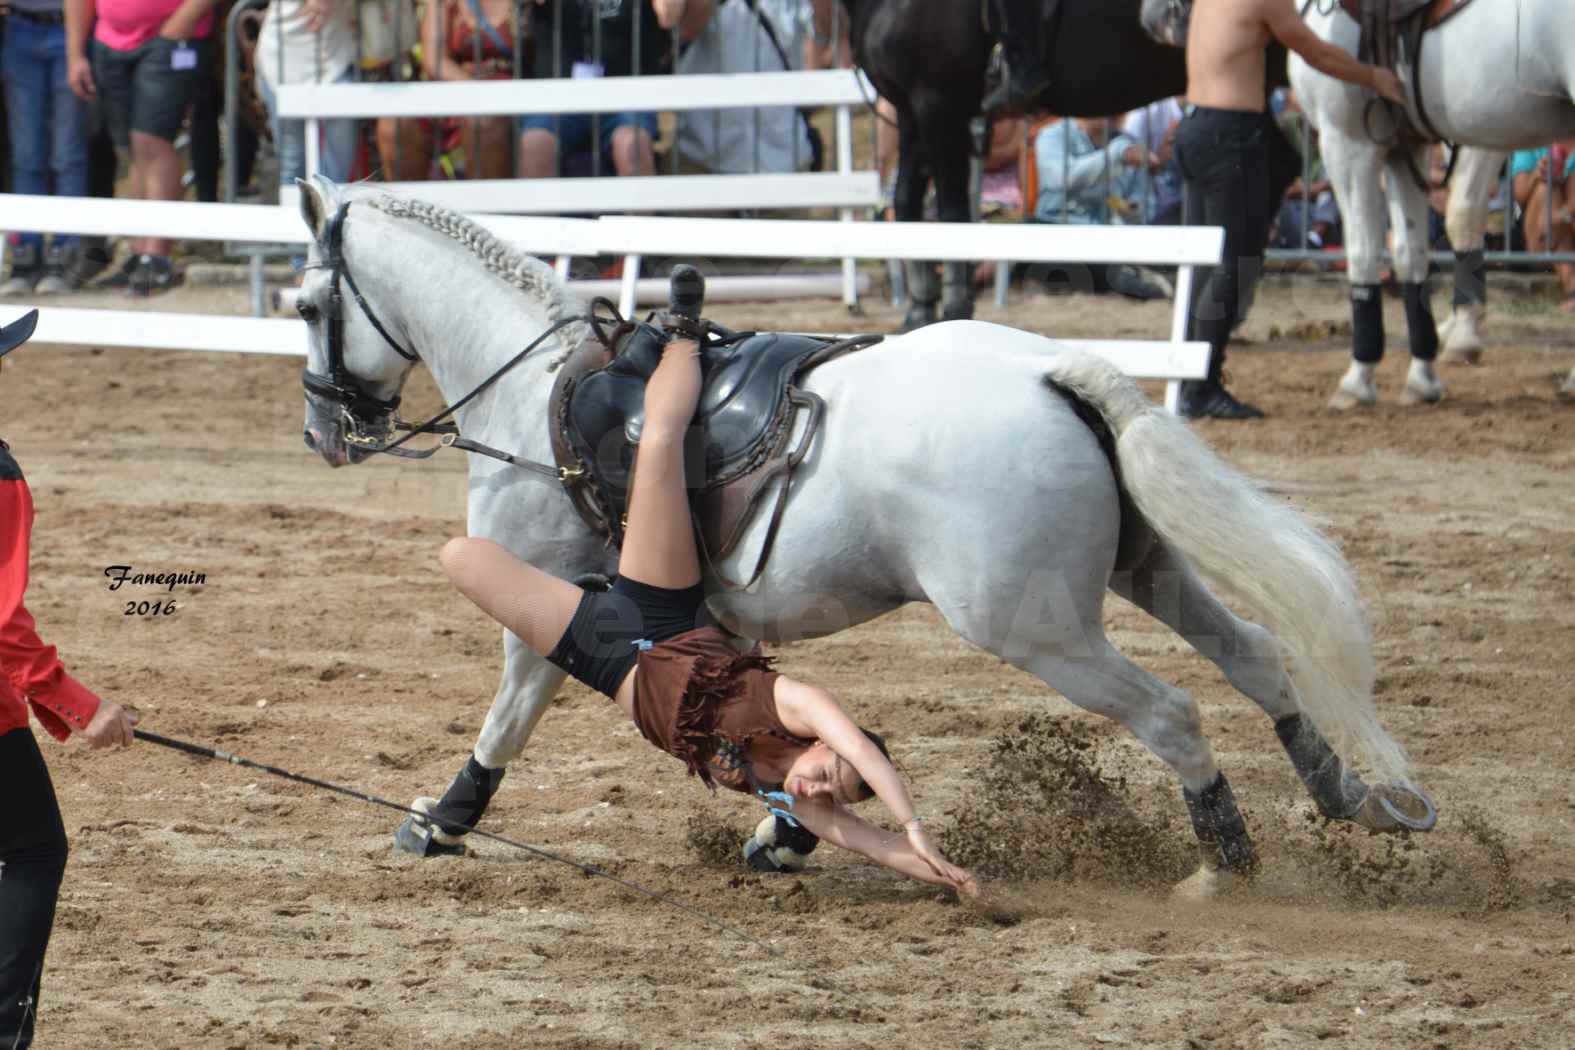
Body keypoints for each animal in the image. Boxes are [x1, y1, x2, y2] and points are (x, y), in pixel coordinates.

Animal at [289, 174, 1436, 894]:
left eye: (306, 305)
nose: (323, 432)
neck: (538, 389)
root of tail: (1049, 373)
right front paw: (786, 832)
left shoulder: (559, 602)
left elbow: (510, 711)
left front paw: (444, 818)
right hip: (1143, 571)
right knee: (1257, 659)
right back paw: (1350, 798)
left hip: (1038, 630)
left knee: (1174, 714)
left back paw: (1224, 862)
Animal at [844, 0, 1297, 330]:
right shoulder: (910, 109)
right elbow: (907, 202)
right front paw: (919, 313)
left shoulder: (939, 105)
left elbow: (951, 213)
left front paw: (954, 311)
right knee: (1275, 167)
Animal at [1285, 0, 1575, 406]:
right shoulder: (1406, 143)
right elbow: (1414, 251)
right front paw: (1424, 375)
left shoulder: (1346, 140)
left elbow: (1363, 253)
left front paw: (1358, 379)